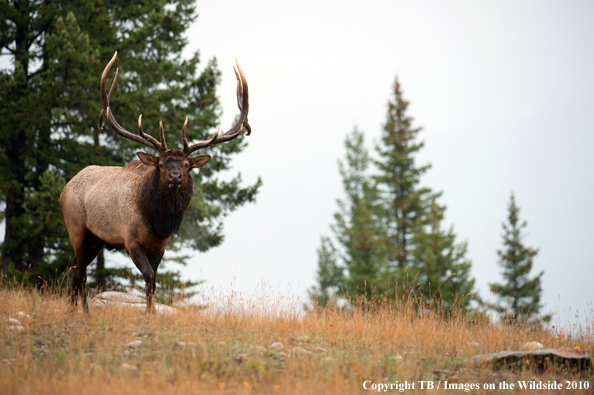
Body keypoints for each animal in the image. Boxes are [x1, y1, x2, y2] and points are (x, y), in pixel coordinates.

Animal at [57, 51, 247, 312]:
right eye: (161, 165)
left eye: (186, 165)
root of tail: (63, 190)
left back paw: (72, 310)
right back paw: (84, 312)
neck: (157, 223)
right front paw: (150, 313)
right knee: (82, 272)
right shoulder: (131, 240)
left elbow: (154, 280)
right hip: (77, 228)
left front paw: (151, 312)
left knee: (76, 270)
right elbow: (148, 276)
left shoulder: (160, 246)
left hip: (96, 239)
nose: (175, 176)